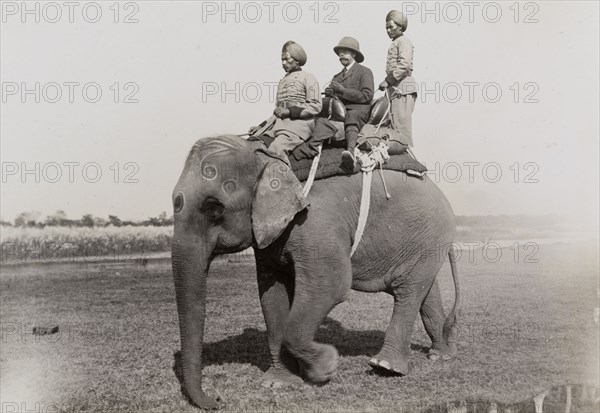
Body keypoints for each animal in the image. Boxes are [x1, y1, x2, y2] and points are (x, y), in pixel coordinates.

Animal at [171, 135, 462, 408]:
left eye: (214, 208)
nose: (217, 400)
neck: (266, 154)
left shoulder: (316, 223)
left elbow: (332, 286)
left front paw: (325, 368)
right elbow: (272, 294)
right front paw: (280, 383)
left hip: (431, 233)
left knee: (408, 291)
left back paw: (386, 366)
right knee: (424, 289)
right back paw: (441, 354)